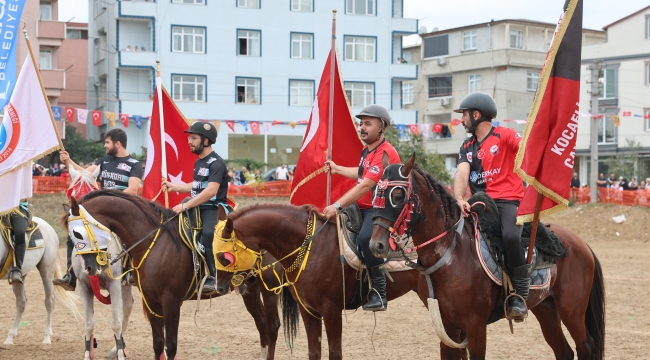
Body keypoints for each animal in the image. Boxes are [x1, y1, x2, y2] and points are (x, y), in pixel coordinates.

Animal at [0, 217, 81, 346]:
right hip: (20, 277)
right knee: (21, 302)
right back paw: (10, 338)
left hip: (46, 270)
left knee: (49, 301)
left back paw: (46, 338)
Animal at [65, 167, 134, 360]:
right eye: (72, 193)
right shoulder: (84, 287)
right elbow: (89, 324)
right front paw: (88, 354)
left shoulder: (114, 284)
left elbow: (115, 323)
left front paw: (120, 354)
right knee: (128, 305)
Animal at [66, 190, 280, 358]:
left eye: (77, 234)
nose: (89, 268)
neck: (156, 242)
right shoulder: (150, 300)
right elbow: (158, 343)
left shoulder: (171, 300)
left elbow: (170, 345)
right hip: (250, 289)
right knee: (261, 324)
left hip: (270, 289)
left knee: (272, 326)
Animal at [215, 204, 422, 358]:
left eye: (224, 257)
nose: (219, 287)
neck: (310, 247)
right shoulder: (308, 310)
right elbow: (314, 352)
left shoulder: (331, 311)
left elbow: (335, 353)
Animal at [368, 154, 604, 360]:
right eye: (375, 194)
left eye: (398, 196)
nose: (376, 245)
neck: (450, 254)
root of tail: (580, 243)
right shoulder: (448, 328)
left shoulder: (475, 326)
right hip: (546, 309)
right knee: (564, 351)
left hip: (572, 311)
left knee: (586, 346)